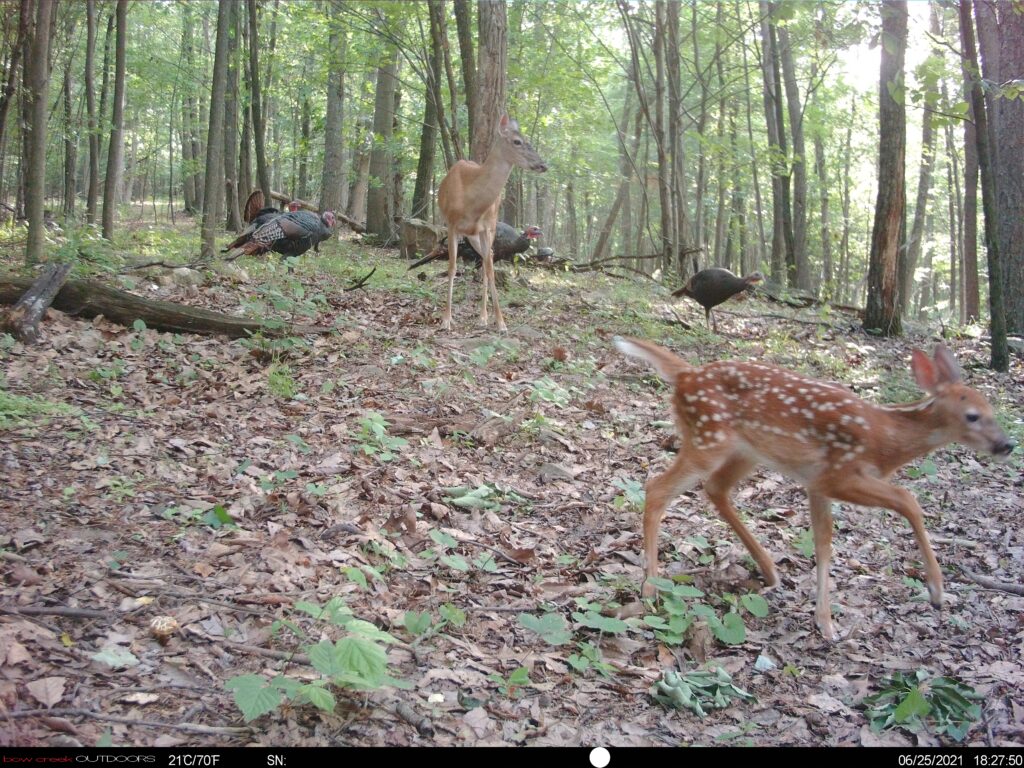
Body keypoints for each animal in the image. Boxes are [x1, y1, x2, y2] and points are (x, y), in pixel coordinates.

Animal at [437, 114, 547, 332]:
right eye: (517, 141)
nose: (543, 165)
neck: (471, 200)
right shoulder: (452, 225)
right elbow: (452, 267)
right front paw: (446, 319)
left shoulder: (486, 227)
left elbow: (489, 269)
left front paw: (501, 322)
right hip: (471, 234)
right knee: (485, 260)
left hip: (488, 229)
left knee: (488, 262)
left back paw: (483, 317)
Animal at [613, 336, 1015, 640]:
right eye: (972, 416)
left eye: (992, 410)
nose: (1007, 445)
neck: (886, 438)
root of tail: (685, 373)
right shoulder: (838, 473)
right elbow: (908, 499)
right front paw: (936, 590)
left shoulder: (816, 483)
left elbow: (824, 544)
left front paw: (825, 622)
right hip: (708, 439)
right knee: (656, 488)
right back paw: (650, 586)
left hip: (744, 451)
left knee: (714, 489)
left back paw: (769, 570)